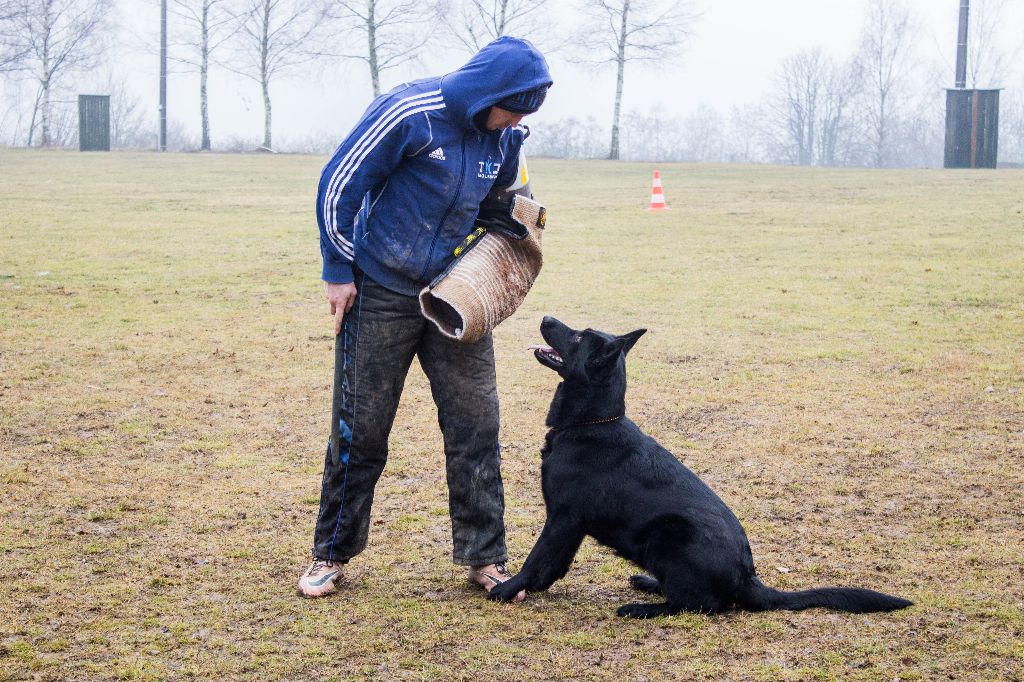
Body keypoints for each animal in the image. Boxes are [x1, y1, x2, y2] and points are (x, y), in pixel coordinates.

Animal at [488, 316, 913, 618]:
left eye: (577, 337)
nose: (546, 316)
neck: (592, 423)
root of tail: (748, 577)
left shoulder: (563, 517)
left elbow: (537, 558)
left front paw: (507, 589)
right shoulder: (572, 524)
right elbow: (553, 566)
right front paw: (530, 589)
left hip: (667, 534)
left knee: (699, 604)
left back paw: (641, 608)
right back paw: (648, 584)